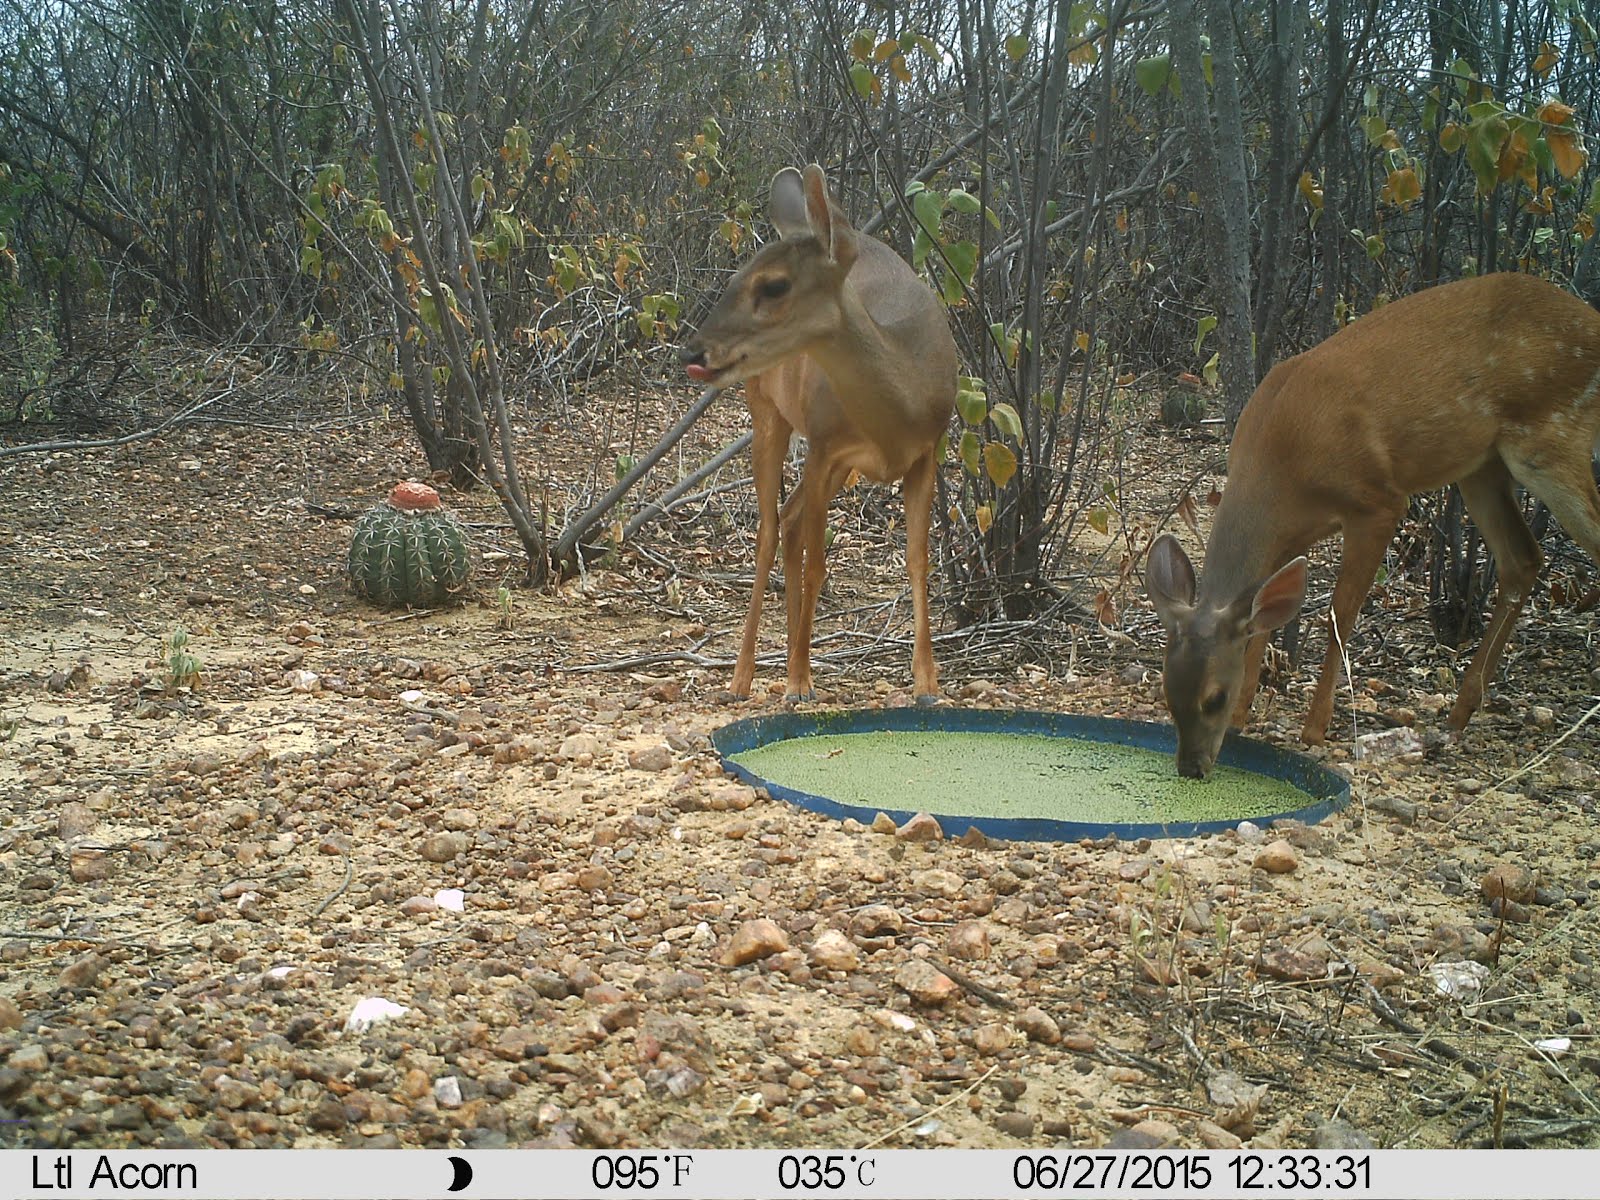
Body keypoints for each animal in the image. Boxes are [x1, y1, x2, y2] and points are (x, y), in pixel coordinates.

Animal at [678, 164, 953, 700]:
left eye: (774, 286)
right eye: (734, 277)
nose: (695, 351)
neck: (901, 409)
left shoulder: (927, 450)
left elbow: (917, 557)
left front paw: (927, 682)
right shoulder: (825, 445)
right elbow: (816, 565)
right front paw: (798, 680)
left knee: (788, 517)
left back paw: (788, 659)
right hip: (768, 411)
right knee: (769, 529)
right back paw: (747, 677)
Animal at [1145, 272, 1600, 780]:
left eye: (1213, 698)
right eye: (1167, 692)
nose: (1191, 767)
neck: (1281, 464)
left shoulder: (1378, 502)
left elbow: (1338, 615)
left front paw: (1314, 728)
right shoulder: (1293, 534)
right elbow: (1264, 623)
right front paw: (1246, 716)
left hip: (1552, 436)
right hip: (1482, 464)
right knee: (1522, 558)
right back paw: (1459, 715)